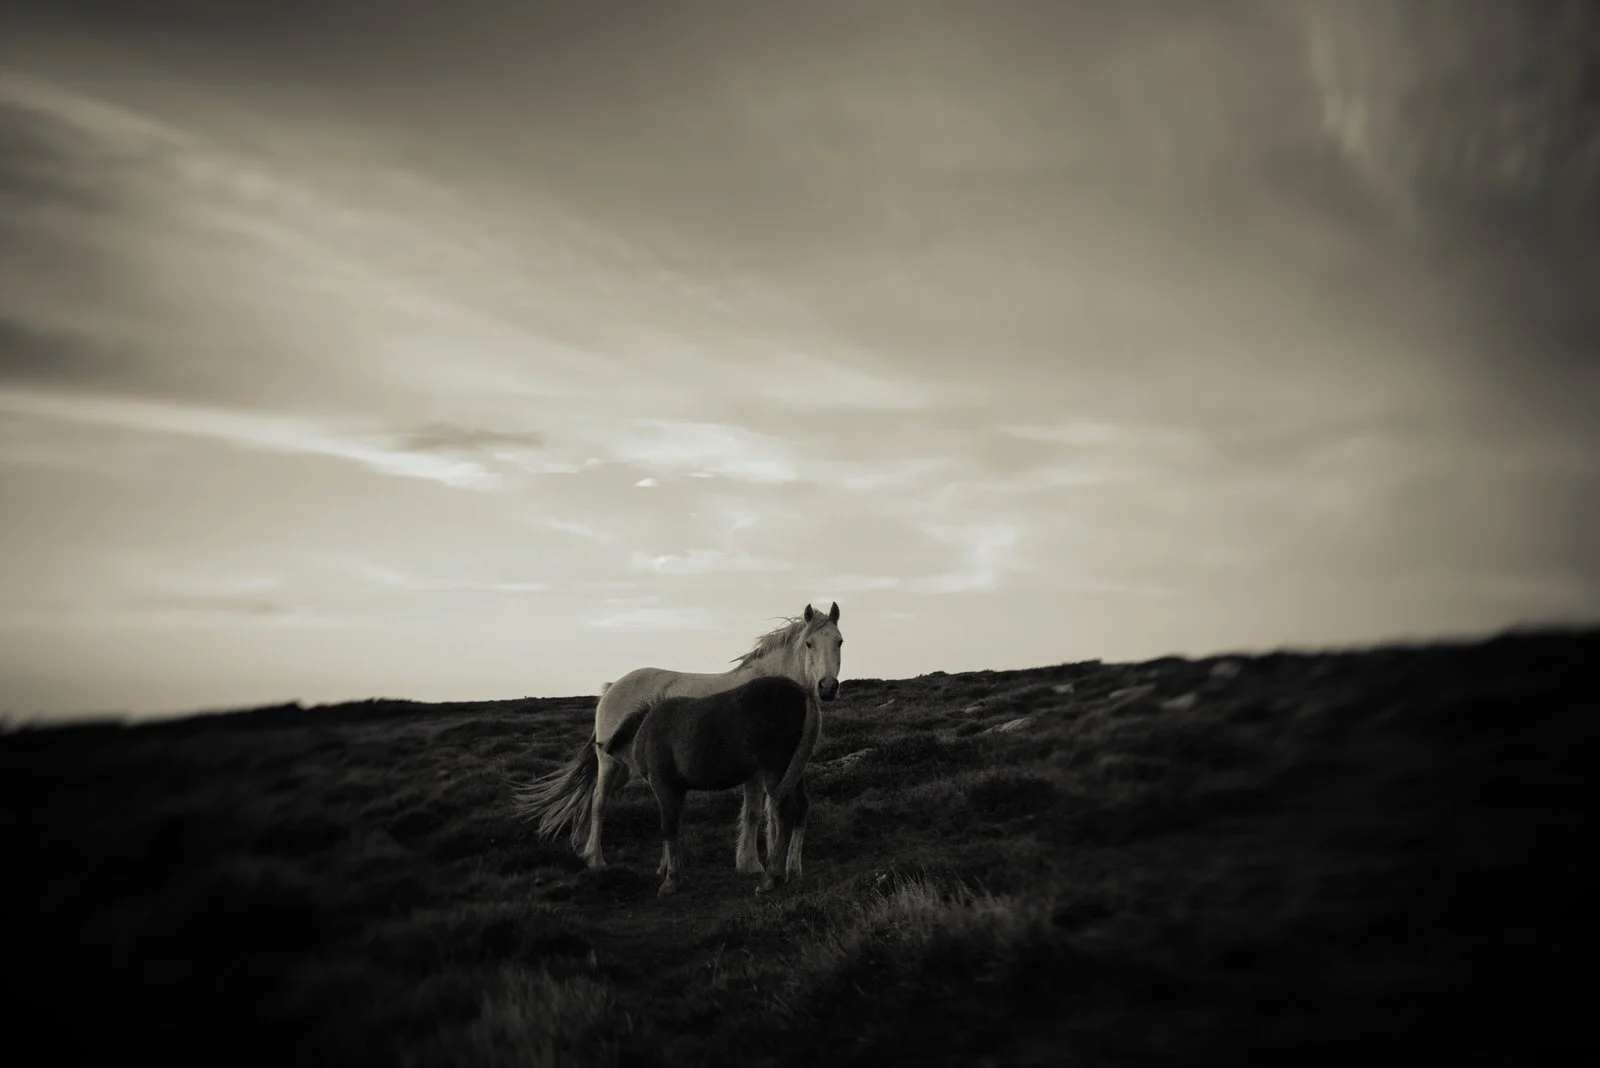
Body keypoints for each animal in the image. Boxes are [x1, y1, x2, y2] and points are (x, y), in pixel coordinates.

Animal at [614, 674, 818, 896]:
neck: (647, 728)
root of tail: (801, 692)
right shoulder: (677, 790)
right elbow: (672, 825)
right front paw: (666, 867)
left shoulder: (663, 784)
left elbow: (669, 826)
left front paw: (671, 880)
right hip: (794, 771)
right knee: (802, 807)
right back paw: (793, 869)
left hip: (776, 769)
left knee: (786, 812)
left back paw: (771, 879)